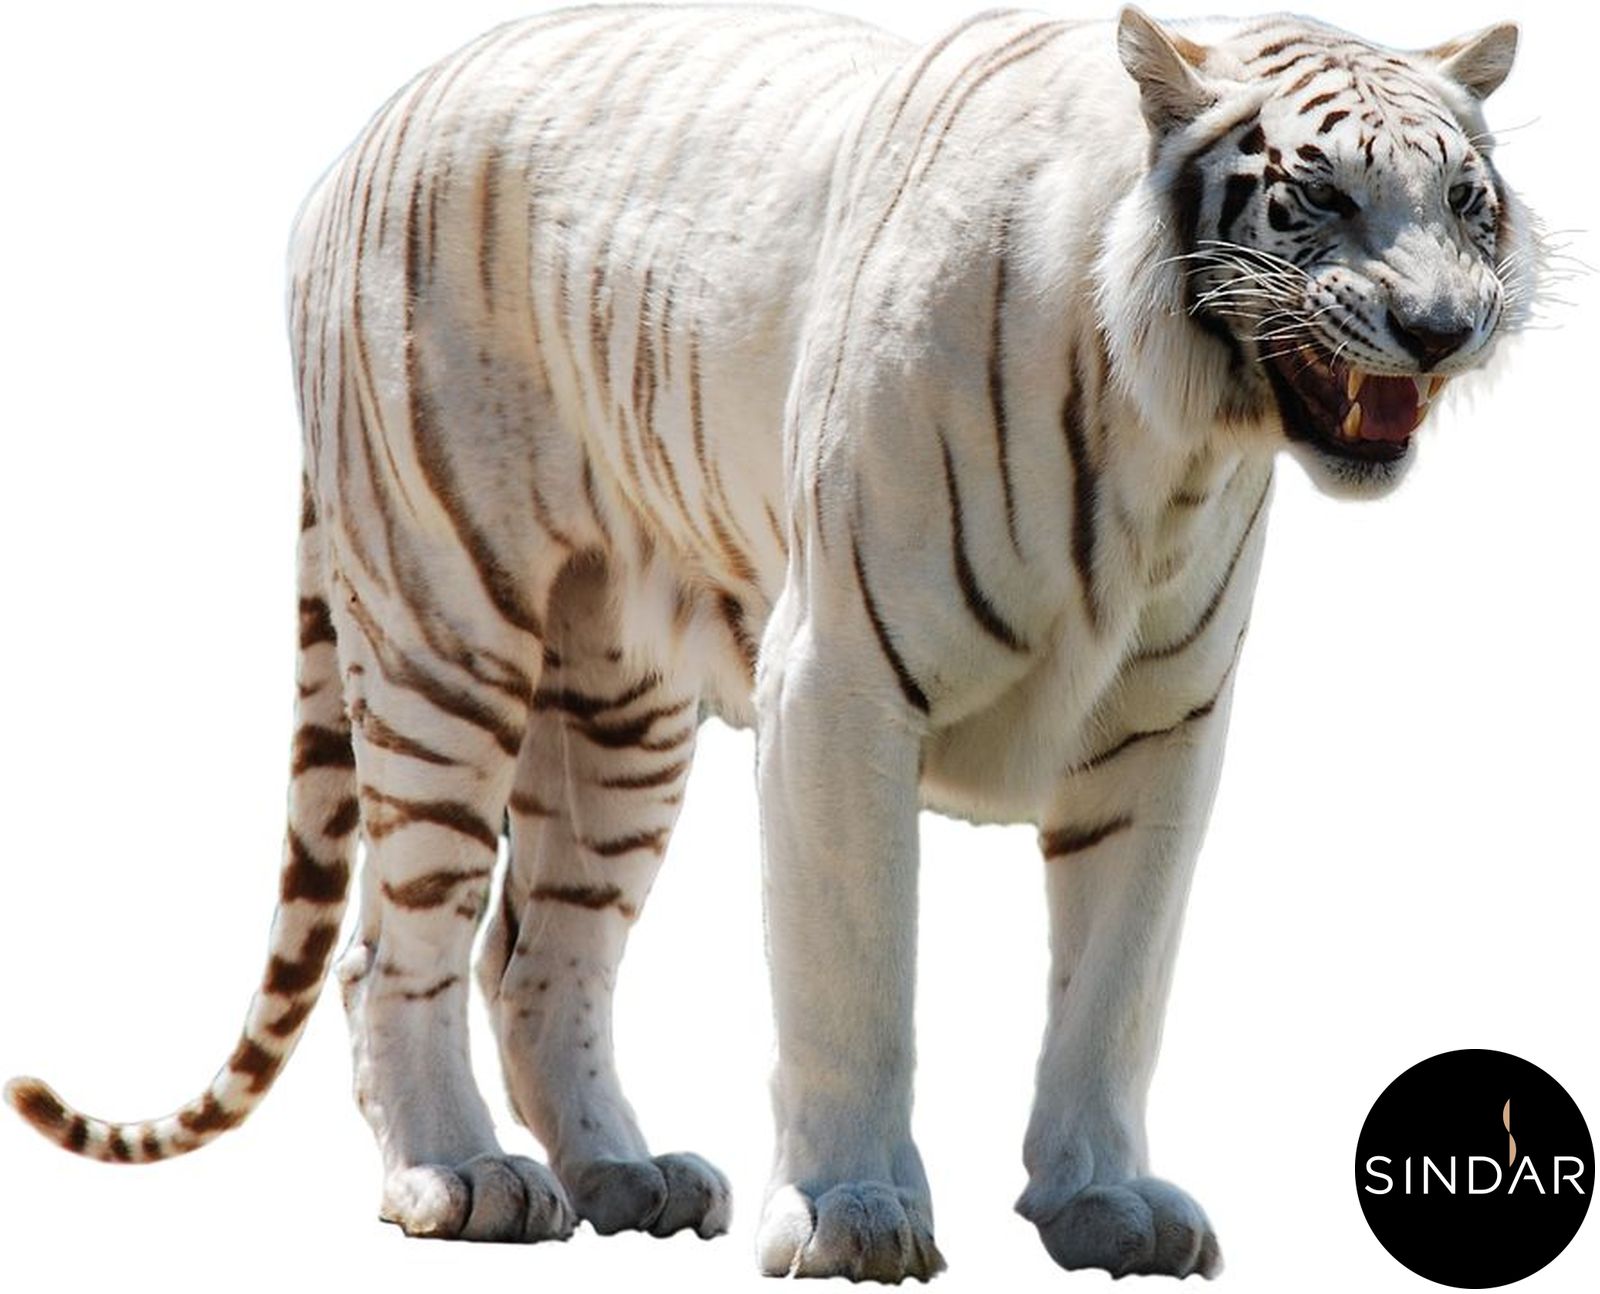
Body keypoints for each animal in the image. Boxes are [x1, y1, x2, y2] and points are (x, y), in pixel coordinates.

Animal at [4, 2, 1535, 1282]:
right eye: (1318, 194)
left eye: (1466, 202)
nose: (1440, 327)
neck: (1175, 434)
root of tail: (378, 122)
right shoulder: (840, 684)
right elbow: (856, 975)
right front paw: (855, 1214)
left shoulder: (1162, 729)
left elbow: (1115, 985)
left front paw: (1105, 1200)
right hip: (446, 624)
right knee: (398, 944)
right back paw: (458, 1174)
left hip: (616, 713)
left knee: (539, 957)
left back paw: (625, 1174)